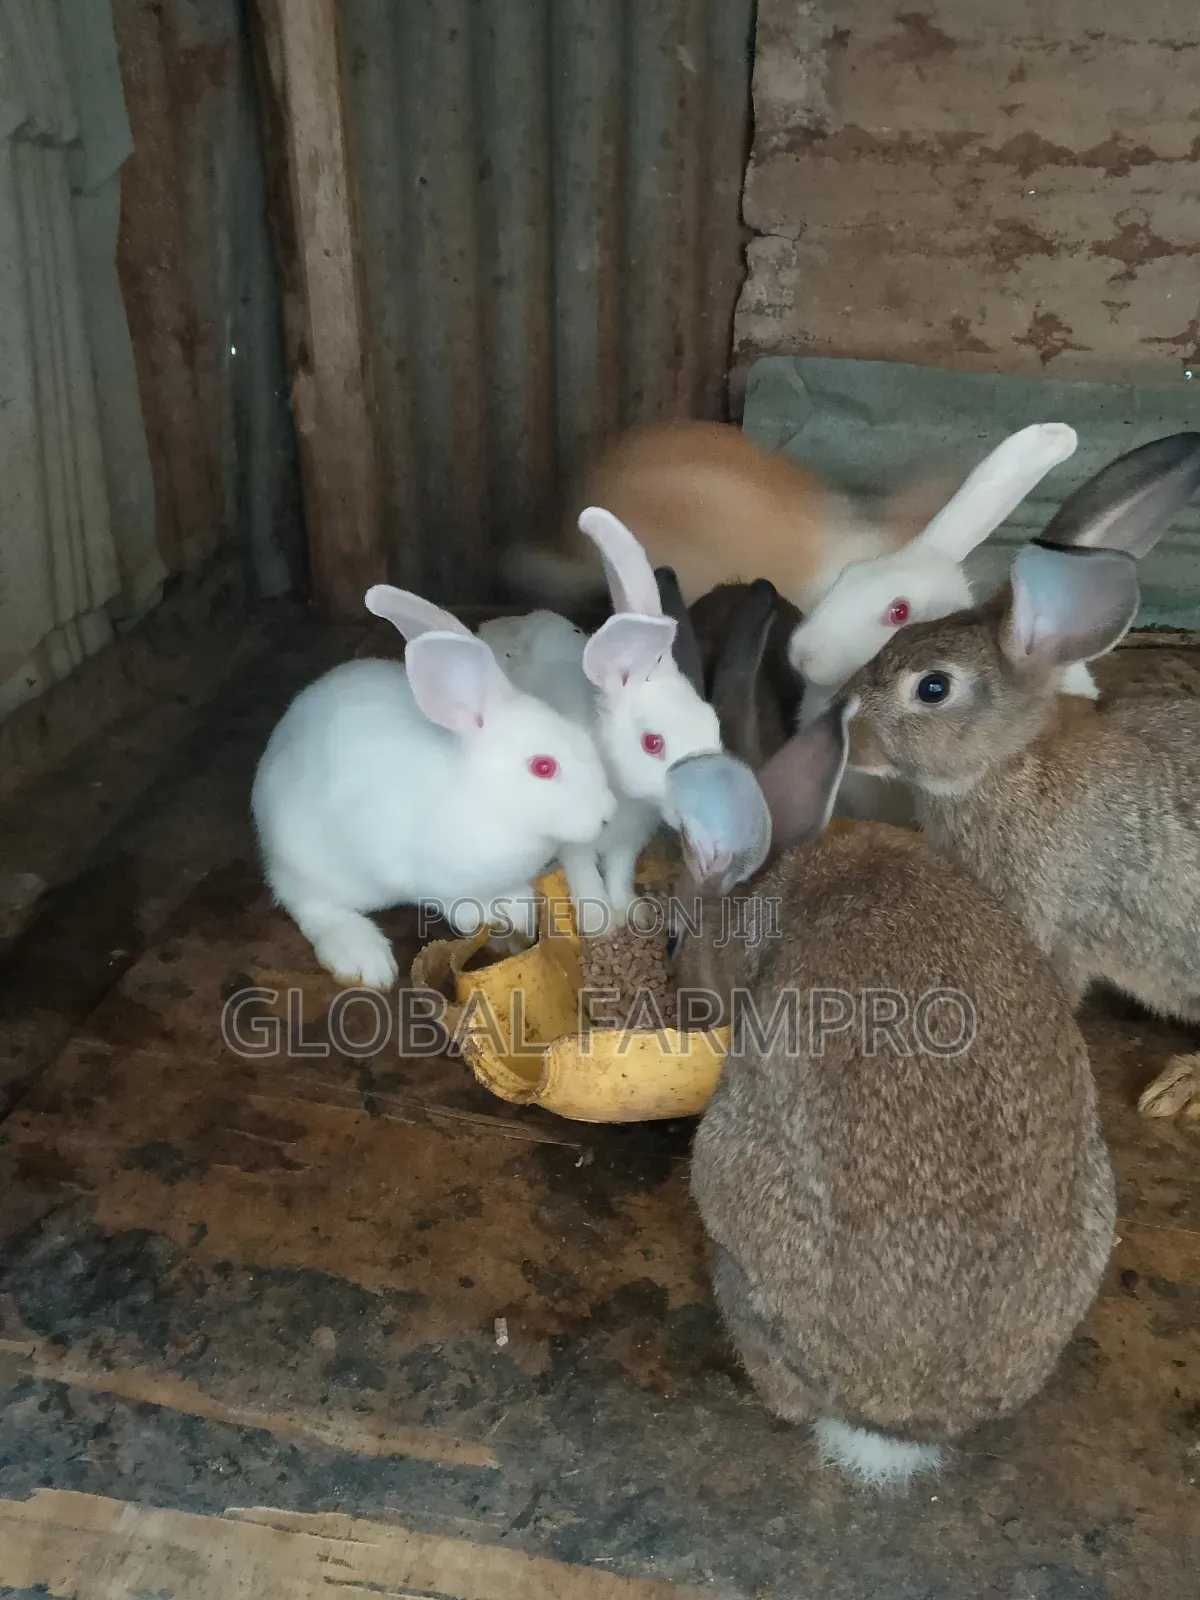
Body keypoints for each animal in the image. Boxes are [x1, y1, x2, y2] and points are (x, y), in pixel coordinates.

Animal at [251, 591, 617, 989]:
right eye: (543, 767)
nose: (607, 815)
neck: (486, 797)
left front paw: (519, 911)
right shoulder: (417, 872)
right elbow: (452, 900)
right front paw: (482, 916)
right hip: (306, 859)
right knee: (311, 904)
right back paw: (365, 959)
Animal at [476, 510, 721, 929]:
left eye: (714, 723)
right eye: (652, 743)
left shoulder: (628, 843)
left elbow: (620, 873)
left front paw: (633, 913)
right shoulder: (574, 843)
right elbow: (585, 876)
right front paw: (598, 923)